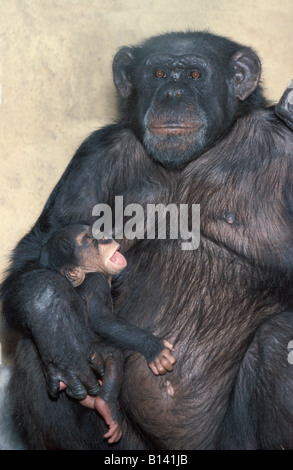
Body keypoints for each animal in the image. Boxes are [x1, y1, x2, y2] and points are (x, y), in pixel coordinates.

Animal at [37, 226, 173, 442]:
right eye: (89, 240)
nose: (105, 236)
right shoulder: (96, 283)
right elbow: (102, 319)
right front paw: (154, 348)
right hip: (92, 353)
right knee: (114, 357)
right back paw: (104, 404)